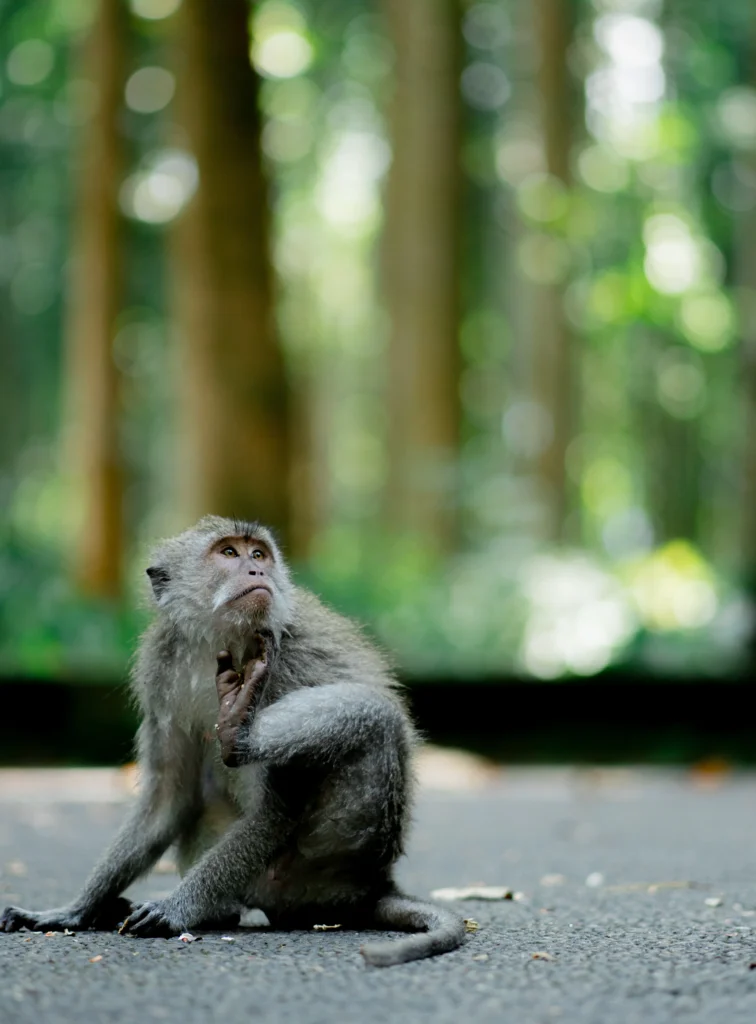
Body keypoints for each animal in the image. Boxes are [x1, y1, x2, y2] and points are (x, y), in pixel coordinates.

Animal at [0, 516, 465, 966]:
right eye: (228, 553)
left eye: (258, 554)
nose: (257, 570)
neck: (219, 640)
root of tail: (372, 885)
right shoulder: (160, 669)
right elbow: (168, 799)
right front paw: (74, 910)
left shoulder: (284, 667)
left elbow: (273, 812)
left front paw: (174, 908)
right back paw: (213, 910)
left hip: (341, 849)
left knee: (376, 713)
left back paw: (240, 735)